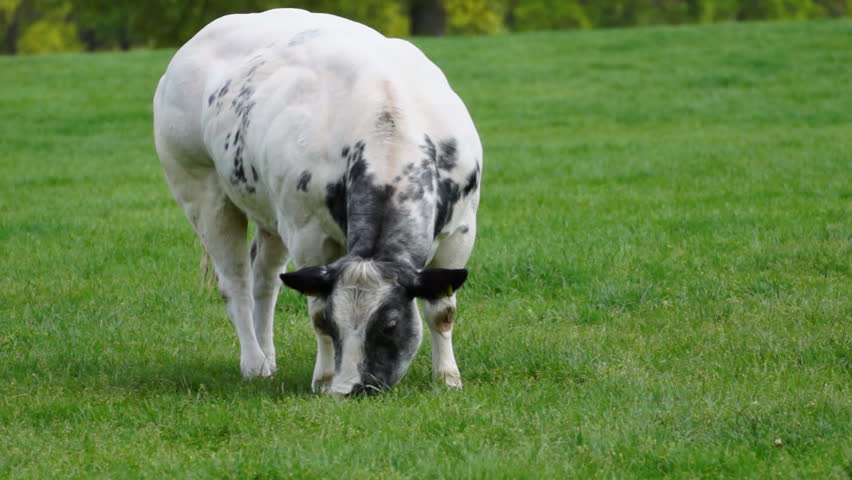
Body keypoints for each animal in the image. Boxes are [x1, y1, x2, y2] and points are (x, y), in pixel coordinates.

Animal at [153, 9, 482, 396]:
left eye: (389, 324)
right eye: (335, 324)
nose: (350, 389)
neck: (388, 129)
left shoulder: (460, 230)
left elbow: (442, 310)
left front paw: (447, 377)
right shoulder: (308, 234)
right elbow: (315, 311)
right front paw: (324, 379)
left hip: (271, 212)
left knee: (265, 278)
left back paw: (268, 357)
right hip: (201, 188)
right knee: (235, 282)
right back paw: (254, 363)